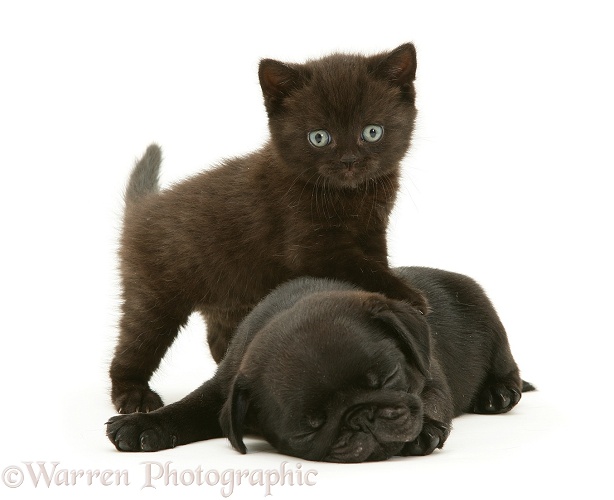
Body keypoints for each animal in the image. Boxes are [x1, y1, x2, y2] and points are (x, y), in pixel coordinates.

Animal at [106, 268, 536, 462]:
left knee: (508, 368)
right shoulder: (224, 387)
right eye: (310, 425)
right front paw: (141, 424)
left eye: (388, 377)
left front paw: (424, 430)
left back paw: (497, 393)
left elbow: (430, 401)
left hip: (489, 322)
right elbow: (186, 409)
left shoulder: (428, 378)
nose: (363, 417)